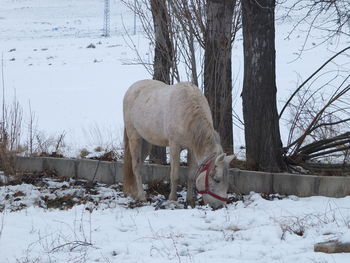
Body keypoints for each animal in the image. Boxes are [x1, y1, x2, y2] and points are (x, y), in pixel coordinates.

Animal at [121, 80, 234, 208]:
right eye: (217, 180)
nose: (220, 206)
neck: (188, 111)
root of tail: (132, 88)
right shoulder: (174, 145)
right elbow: (175, 175)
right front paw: (172, 199)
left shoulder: (192, 148)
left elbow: (191, 175)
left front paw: (190, 201)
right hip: (135, 138)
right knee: (136, 167)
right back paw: (141, 196)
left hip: (146, 143)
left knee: (138, 165)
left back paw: (135, 194)